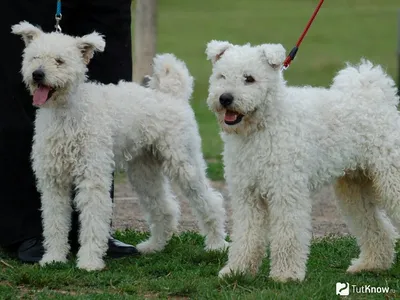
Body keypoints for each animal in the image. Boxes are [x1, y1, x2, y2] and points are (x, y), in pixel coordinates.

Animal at [10, 21, 228, 270]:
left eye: (59, 61)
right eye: (34, 57)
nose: (37, 74)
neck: (67, 114)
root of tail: (172, 95)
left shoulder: (92, 178)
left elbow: (93, 221)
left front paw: (89, 262)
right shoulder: (53, 181)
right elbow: (55, 222)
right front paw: (53, 258)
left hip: (185, 163)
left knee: (211, 202)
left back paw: (216, 245)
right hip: (144, 171)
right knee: (165, 208)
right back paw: (153, 246)